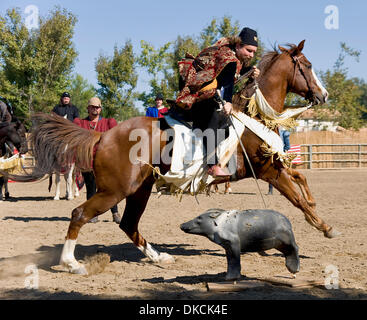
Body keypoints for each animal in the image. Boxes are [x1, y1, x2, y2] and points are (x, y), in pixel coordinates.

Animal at [1, 39, 338, 276]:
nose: (323, 95)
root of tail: (103, 136)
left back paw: (159, 256)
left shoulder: (275, 166)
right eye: (307, 65)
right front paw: (322, 225)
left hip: (139, 189)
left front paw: (318, 215)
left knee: (128, 224)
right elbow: (297, 198)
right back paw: (72, 263)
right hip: (115, 190)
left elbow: (301, 180)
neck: (254, 115)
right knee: (80, 214)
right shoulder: (267, 170)